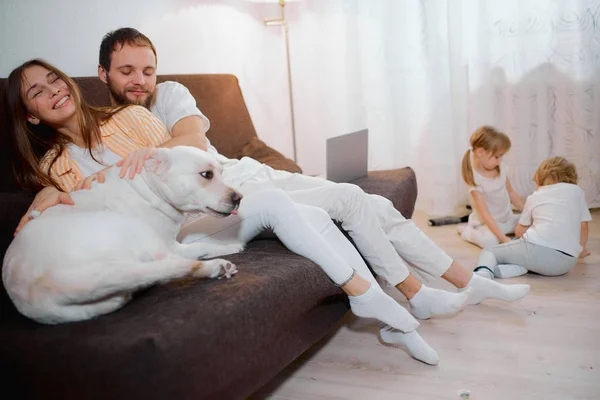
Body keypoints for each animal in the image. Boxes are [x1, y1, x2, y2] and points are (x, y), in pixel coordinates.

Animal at [2, 147, 245, 324]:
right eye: (207, 175)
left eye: (221, 173)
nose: (239, 198)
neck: (148, 187)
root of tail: (48, 285)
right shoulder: (170, 245)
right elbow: (201, 246)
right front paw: (227, 247)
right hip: (137, 233)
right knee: (176, 263)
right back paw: (217, 265)